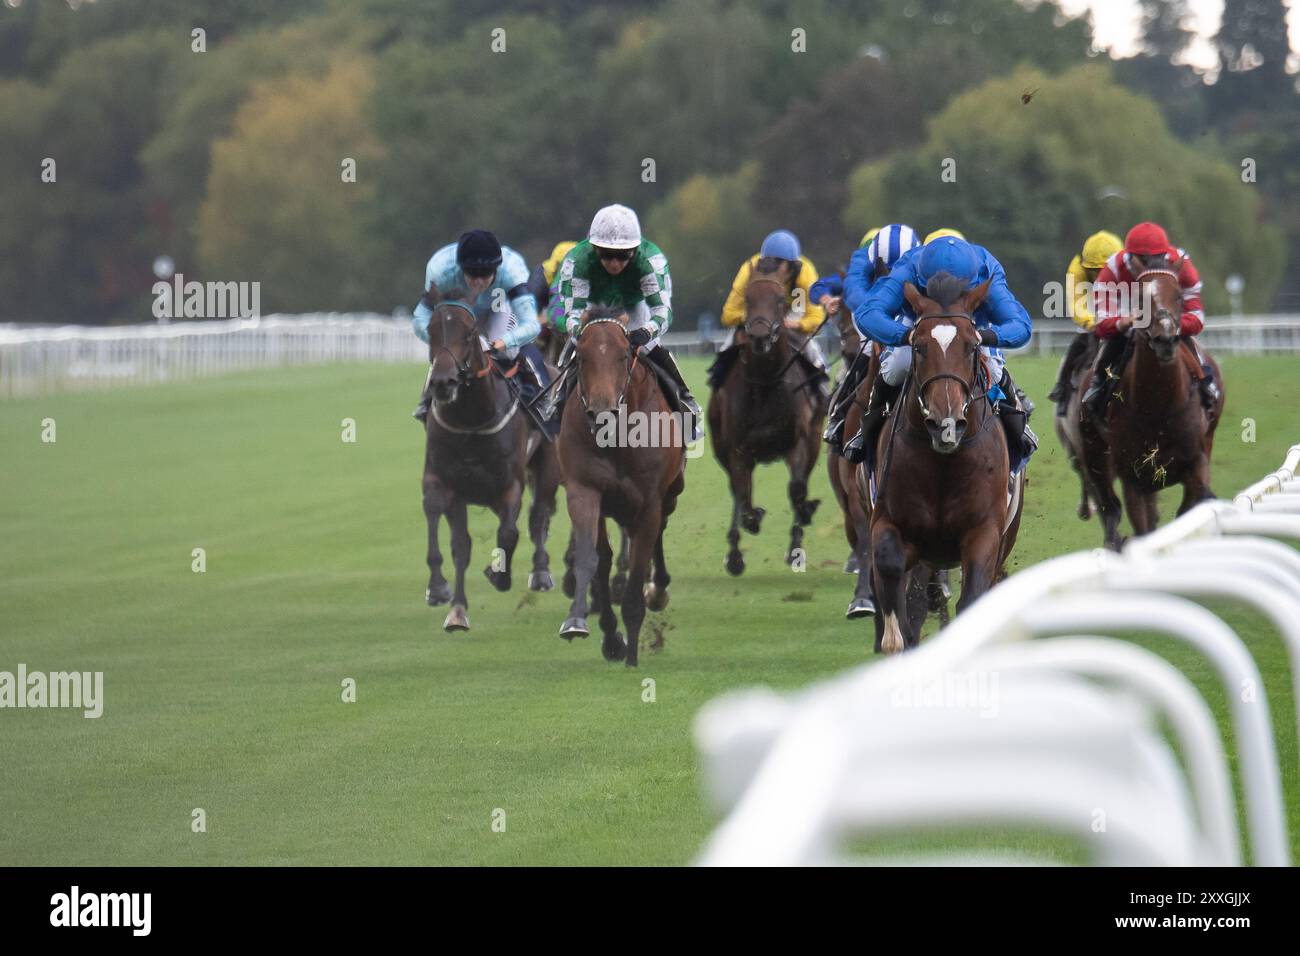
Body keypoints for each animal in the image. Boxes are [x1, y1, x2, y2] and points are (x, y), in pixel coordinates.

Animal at [418, 291, 556, 634]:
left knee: (539, 516)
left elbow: (509, 534)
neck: (472, 420)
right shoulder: (445, 482)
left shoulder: (510, 486)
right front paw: (447, 599)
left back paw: (541, 573)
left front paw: (498, 574)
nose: (442, 381)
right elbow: (456, 542)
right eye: (430, 330)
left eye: (469, 333)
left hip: (549, 467)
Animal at [553, 306, 686, 665]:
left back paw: (658, 589)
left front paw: (632, 654)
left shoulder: (649, 501)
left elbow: (639, 564)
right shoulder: (585, 491)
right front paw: (607, 636)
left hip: (671, 493)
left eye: (624, 354)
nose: (602, 413)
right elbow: (595, 559)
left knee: (659, 532)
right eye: (582, 357)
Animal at [707, 256, 826, 574]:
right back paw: (735, 552)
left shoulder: (798, 441)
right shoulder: (737, 449)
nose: (759, 336)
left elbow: (797, 488)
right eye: (747, 298)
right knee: (737, 492)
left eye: (781, 300)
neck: (765, 382)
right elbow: (743, 495)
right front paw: (751, 522)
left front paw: (802, 524)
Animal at [1076, 267, 1216, 554]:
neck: (1159, 407)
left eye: (1179, 296)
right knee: (1109, 505)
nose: (1165, 339)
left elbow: (1189, 508)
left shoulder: (1196, 464)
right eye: (1139, 298)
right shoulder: (1135, 478)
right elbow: (1142, 528)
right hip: (1094, 452)